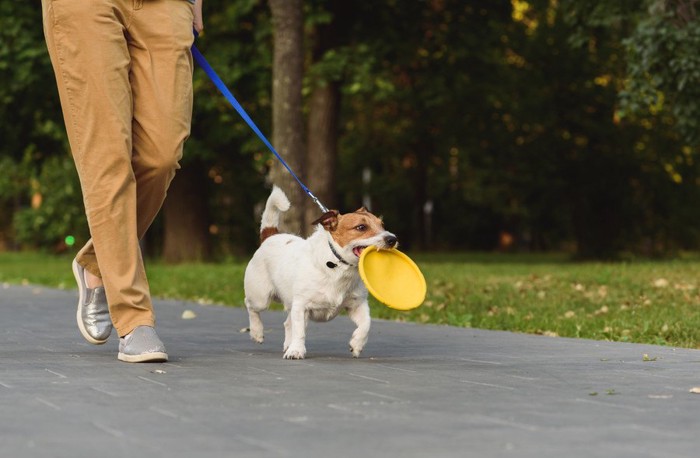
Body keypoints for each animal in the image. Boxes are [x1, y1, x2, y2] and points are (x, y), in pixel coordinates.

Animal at [243, 184, 396, 360]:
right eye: (361, 227)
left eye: (382, 225)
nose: (393, 239)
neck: (338, 266)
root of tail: (270, 236)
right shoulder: (301, 306)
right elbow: (300, 332)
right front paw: (296, 350)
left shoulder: (358, 304)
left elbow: (366, 324)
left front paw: (356, 344)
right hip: (260, 297)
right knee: (251, 307)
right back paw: (257, 333)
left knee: (288, 323)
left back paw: (287, 344)